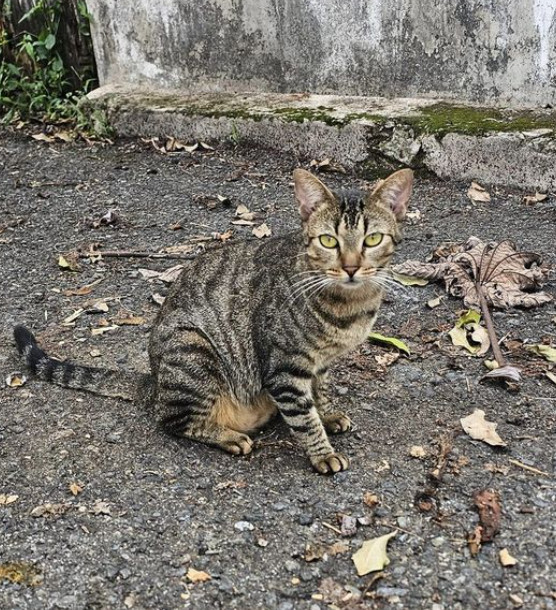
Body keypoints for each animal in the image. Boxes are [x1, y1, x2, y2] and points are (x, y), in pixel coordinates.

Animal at [14, 169, 412, 472]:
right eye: (329, 241)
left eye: (372, 239)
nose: (351, 267)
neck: (349, 307)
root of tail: (154, 382)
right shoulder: (284, 367)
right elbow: (304, 416)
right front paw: (323, 452)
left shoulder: (321, 363)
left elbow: (320, 392)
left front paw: (328, 413)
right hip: (193, 348)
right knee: (173, 420)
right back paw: (230, 436)